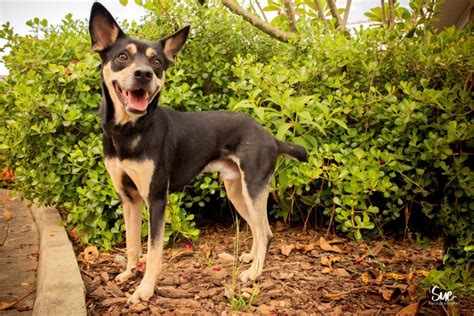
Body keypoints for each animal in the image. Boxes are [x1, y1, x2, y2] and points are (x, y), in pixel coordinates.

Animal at [89, 1, 310, 304]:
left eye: (156, 62)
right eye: (122, 56)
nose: (144, 75)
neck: (131, 131)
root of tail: (271, 137)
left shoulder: (156, 198)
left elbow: (154, 251)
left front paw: (144, 290)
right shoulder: (129, 198)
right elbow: (132, 243)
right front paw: (128, 273)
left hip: (253, 188)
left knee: (266, 232)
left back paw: (254, 274)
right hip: (237, 191)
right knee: (259, 228)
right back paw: (251, 259)